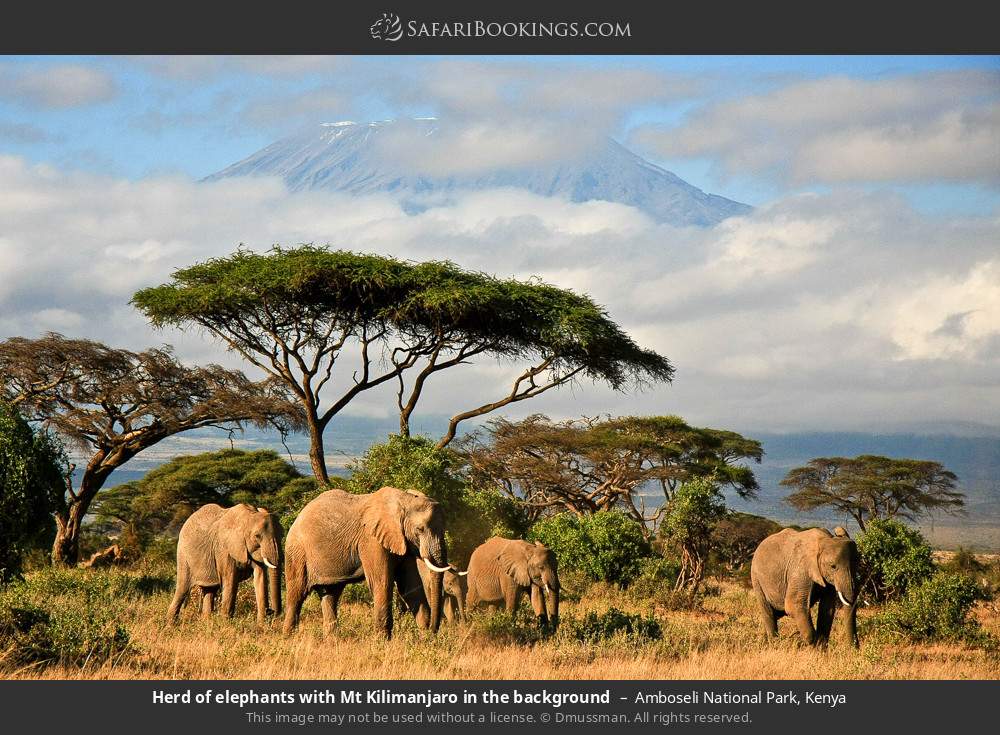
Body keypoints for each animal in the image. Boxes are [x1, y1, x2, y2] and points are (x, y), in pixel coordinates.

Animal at [282, 487, 452, 639]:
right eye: (420, 529)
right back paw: (288, 638)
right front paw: (382, 643)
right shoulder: (372, 540)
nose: (433, 631)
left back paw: (331, 641)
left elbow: (410, 587)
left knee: (330, 595)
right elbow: (382, 583)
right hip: (297, 552)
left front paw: (425, 640)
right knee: (296, 594)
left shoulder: (404, 541)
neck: (404, 500)